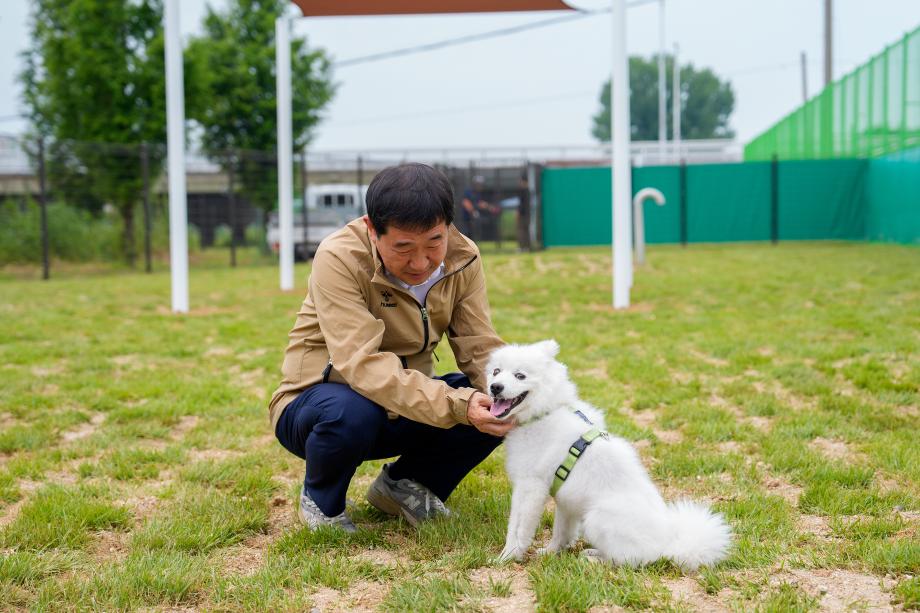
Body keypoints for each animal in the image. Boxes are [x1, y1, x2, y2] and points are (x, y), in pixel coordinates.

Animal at [486, 340, 728, 568]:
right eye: (496, 371)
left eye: (520, 375)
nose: (495, 387)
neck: (544, 412)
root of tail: (669, 545)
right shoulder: (565, 500)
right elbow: (561, 532)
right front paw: (552, 552)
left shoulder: (529, 488)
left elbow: (517, 530)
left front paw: (506, 557)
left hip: (595, 518)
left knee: (628, 560)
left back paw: (593, 559)